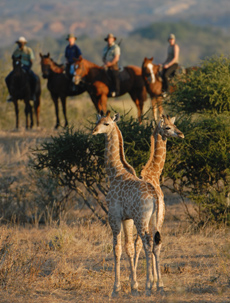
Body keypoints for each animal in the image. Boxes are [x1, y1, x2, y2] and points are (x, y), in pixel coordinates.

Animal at [92, 111, 162, 296]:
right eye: (97, 121)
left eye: (107, 123)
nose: (94, 131)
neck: (114, 173)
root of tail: (154, 196)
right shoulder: (127, 218)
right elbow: (129, 248)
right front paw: (133, 285)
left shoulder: (114, 216)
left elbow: (117, 249)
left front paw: (116, 288)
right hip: (153, 219)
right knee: (156, 243)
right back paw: (159, 285)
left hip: (141, 219)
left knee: (147, 243)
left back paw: (149, 286)